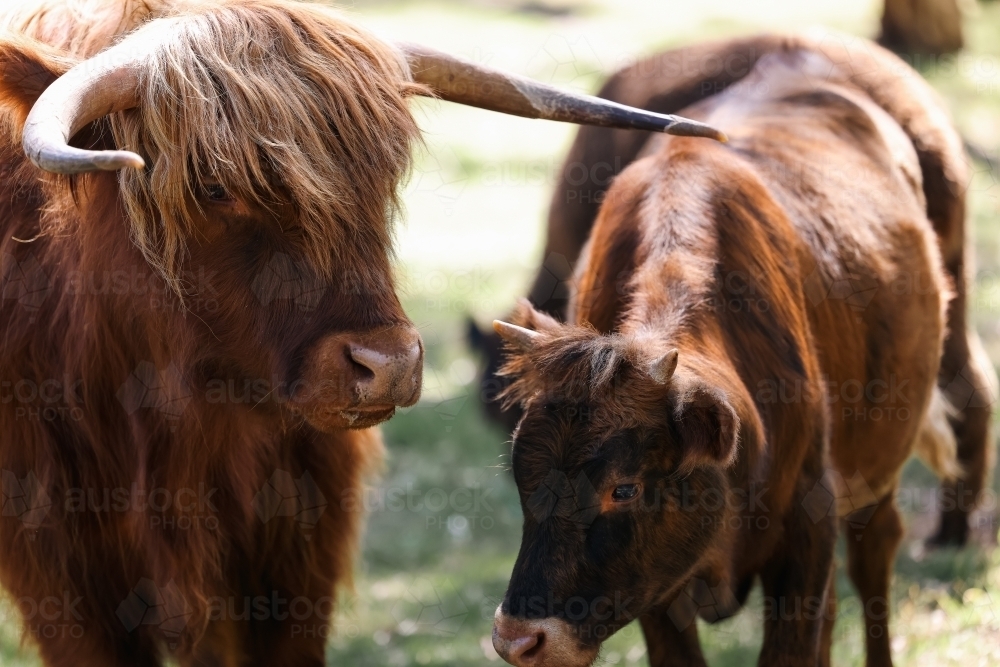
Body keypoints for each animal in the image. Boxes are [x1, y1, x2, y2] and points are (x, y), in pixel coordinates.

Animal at [489, 33, 996, 667]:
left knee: (879, 541)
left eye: (622, 488)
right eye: (520, 476)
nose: (518, 638)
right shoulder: (658, 587)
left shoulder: (808, 530)